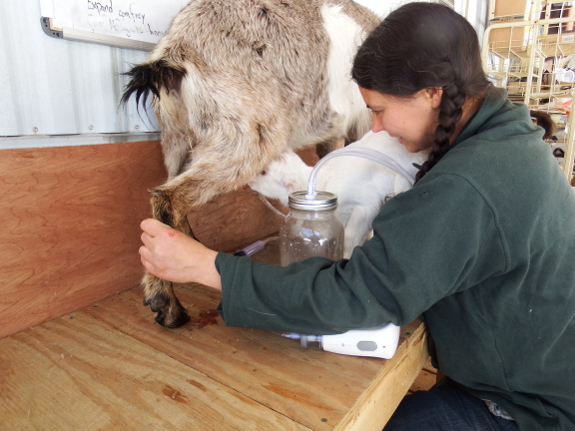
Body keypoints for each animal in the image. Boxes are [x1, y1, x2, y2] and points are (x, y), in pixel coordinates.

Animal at [121, 0, 380, 330]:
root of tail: (175, 54)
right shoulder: (364, 121)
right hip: (246, 133)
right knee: (167, 196)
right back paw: (167, 305)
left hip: (177, 138)